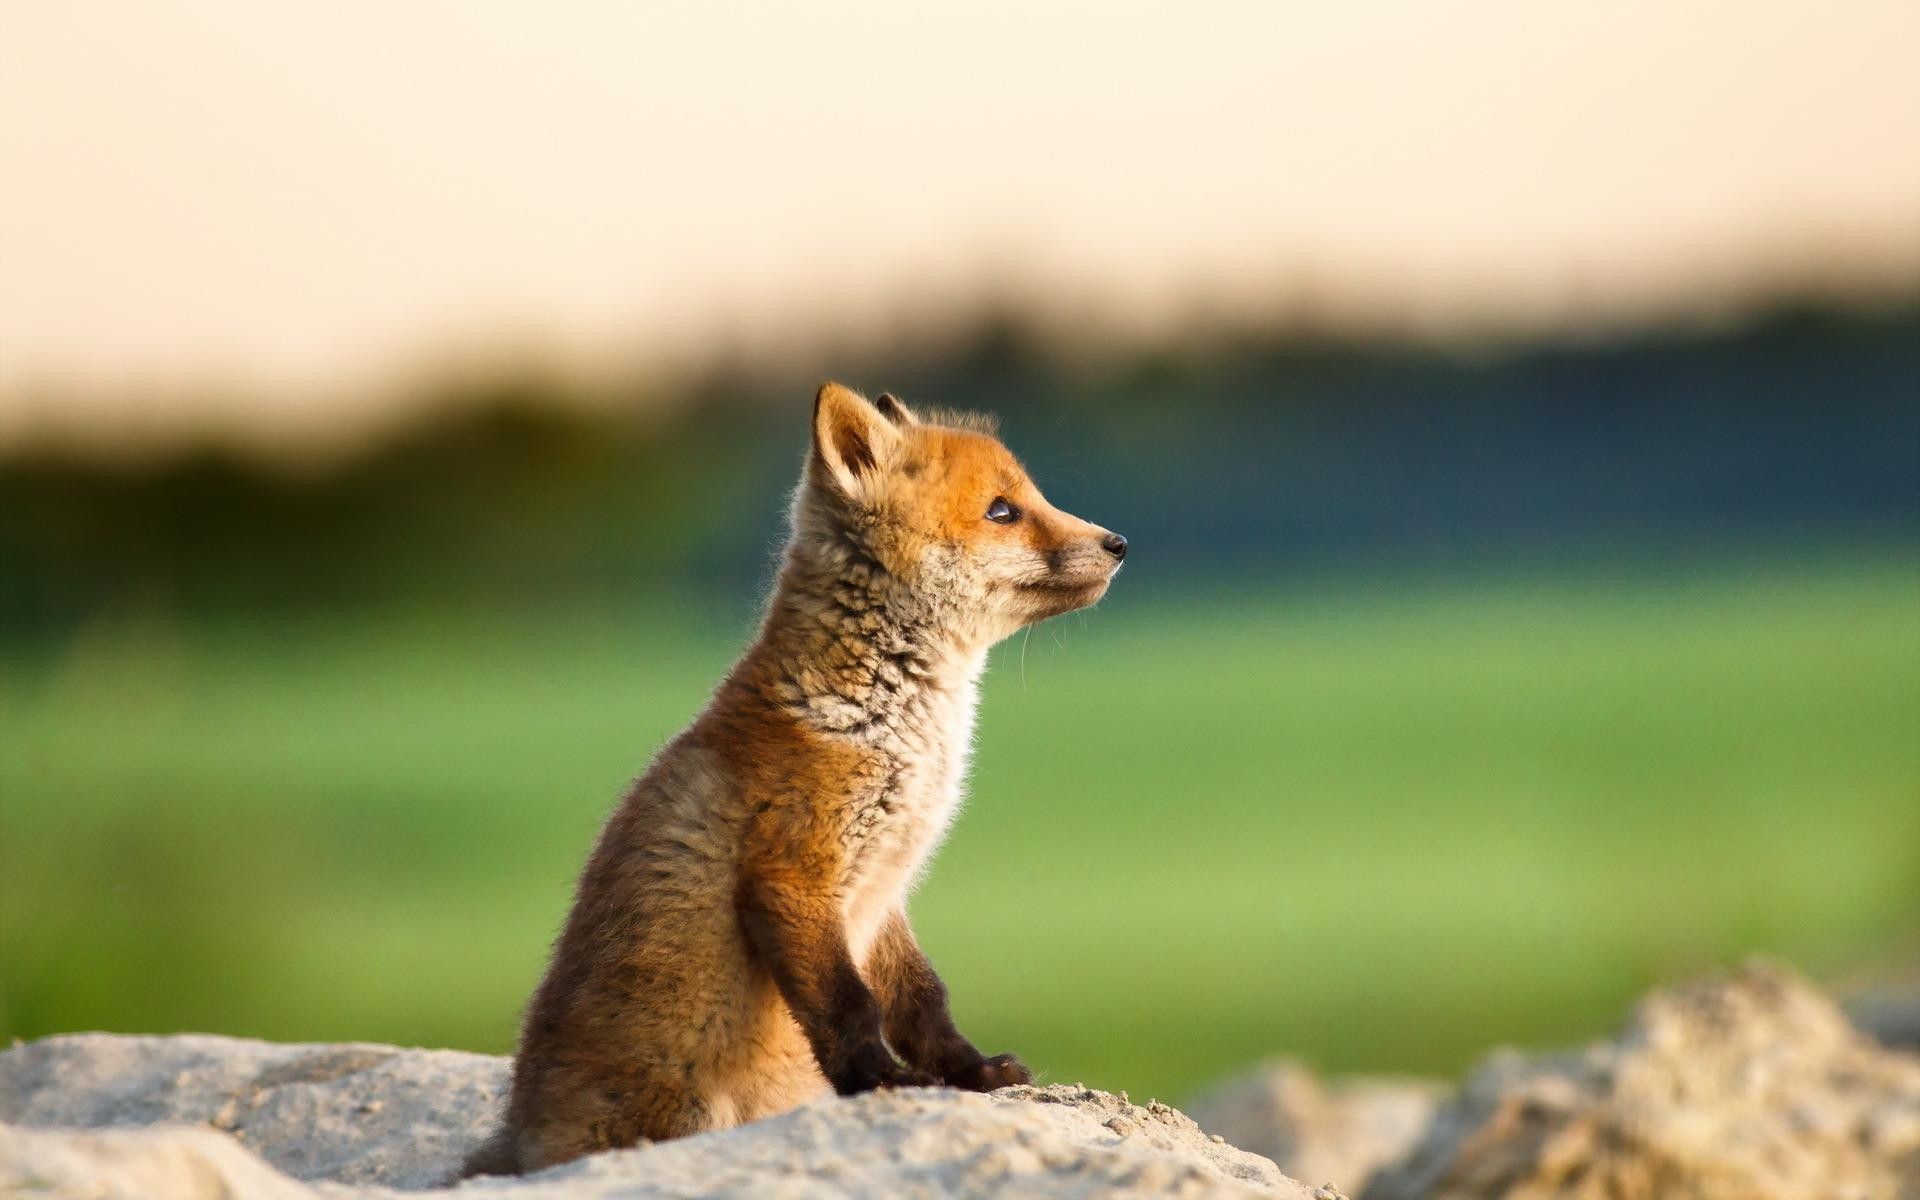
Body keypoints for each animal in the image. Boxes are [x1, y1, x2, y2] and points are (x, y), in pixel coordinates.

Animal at [462, 382, 1128, 1175]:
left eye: (1030, 497)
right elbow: (849, 1006)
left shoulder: (885, 892)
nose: (1120, 544)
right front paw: (878, 1084)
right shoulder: (793, 876)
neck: (889, 727)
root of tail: (518, 1139)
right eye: (1003, 510)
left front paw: (971, 1074)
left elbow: (923, 1000)